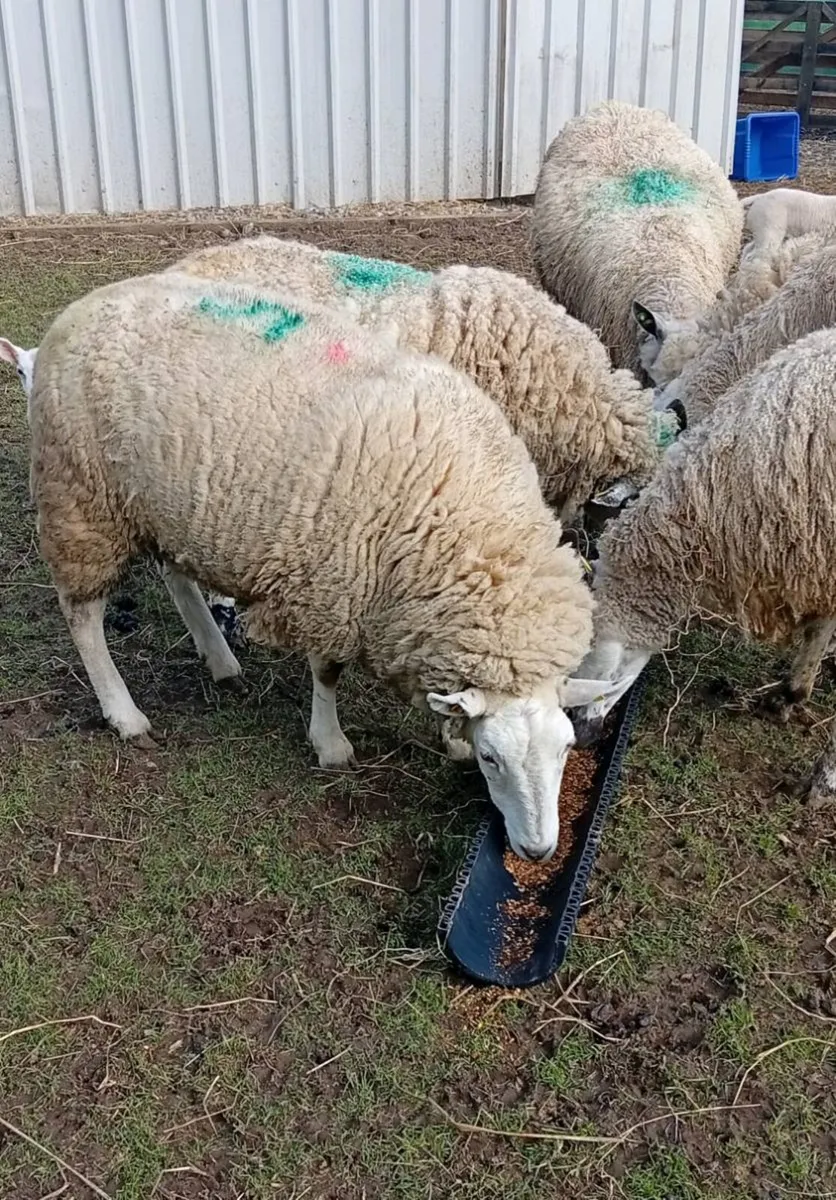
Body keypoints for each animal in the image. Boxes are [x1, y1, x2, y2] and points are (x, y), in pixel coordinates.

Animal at [30, 270, 609, 862]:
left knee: (175, 576)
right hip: (82, 499)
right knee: (82, 616)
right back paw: (124, 713)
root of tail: (88, 304)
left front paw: (449, 735)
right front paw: (331, 743)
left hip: (167, 506)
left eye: (566, 749)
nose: (538, 850)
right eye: (494, 759)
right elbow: (328, 672)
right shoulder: (335, 586)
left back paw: (219, 658)